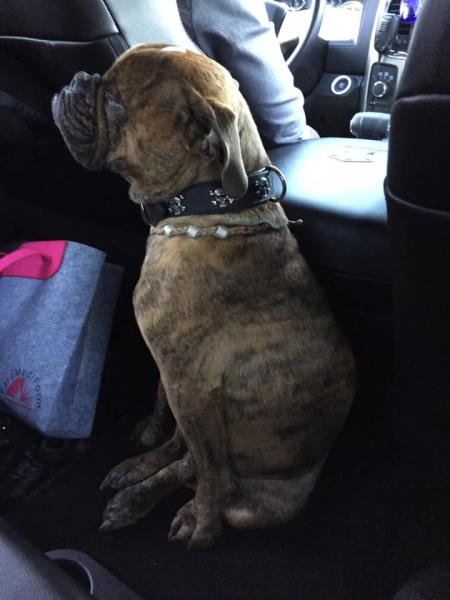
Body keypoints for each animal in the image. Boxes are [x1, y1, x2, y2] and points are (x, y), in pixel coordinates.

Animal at [52, 44, 355, 549]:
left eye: (113, 102)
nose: (77, 79)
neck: (210, 207)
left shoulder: (191, 385)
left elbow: (212, 476)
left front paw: (204, 526)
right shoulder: (173, 374)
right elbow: (165, 412)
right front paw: (151, 437)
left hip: (253, 497)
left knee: (206, 474)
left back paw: (160, 503)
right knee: (185, 457)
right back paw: (136, 479)